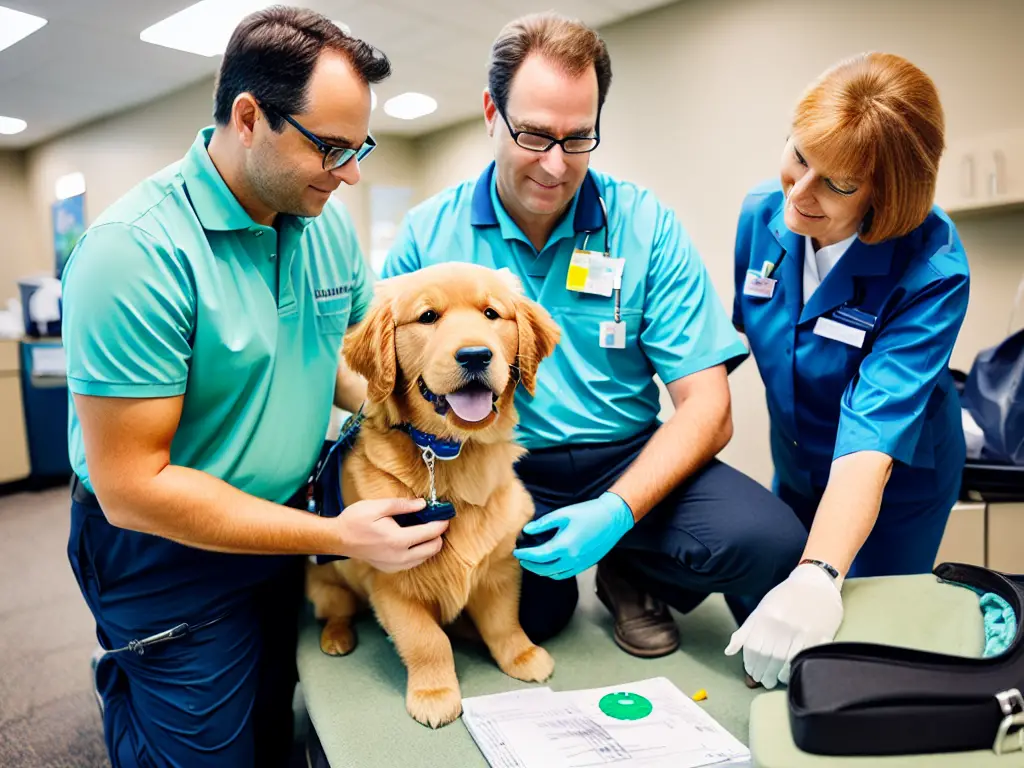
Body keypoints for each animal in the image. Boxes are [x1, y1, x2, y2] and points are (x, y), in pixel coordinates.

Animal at [305, 262, 561, 729]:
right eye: (427, 317)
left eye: (491, 314)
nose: (475, 355)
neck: (449, 453)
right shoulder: (392, 583)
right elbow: (427, 641)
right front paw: (435, 694)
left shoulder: (499, 569)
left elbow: (505, 622)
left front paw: (522, 656)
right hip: (328, 584)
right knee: (337, 610)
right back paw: (337, 637)